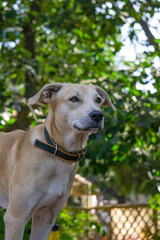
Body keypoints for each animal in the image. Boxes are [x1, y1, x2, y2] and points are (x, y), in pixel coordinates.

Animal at [0, 83, 115, 240]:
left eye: (98, 100)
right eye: (74, 99)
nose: (98, 115)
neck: (58, 154)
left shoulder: (46, 218)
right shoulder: (15, 218)